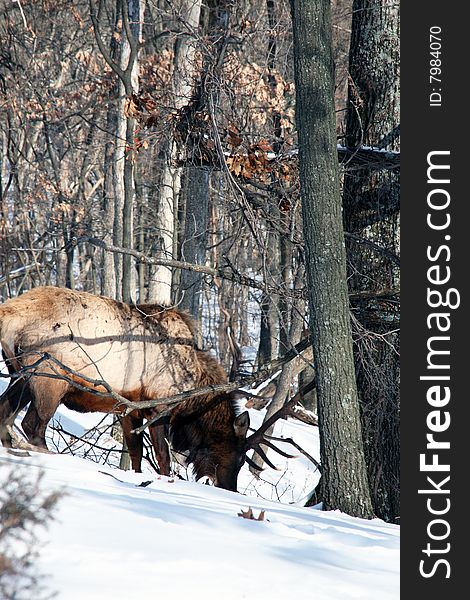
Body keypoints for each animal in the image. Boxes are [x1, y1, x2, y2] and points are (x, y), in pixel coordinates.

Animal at [0, 288, 288, 490]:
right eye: (238, 456)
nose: (230, 489)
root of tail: (9, 314)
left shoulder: (128, 409)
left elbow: (136, 454)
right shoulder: (158, 406)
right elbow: (163, 458)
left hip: (19, 375)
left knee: (5, 414)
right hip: (49, 377)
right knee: (32, 425)